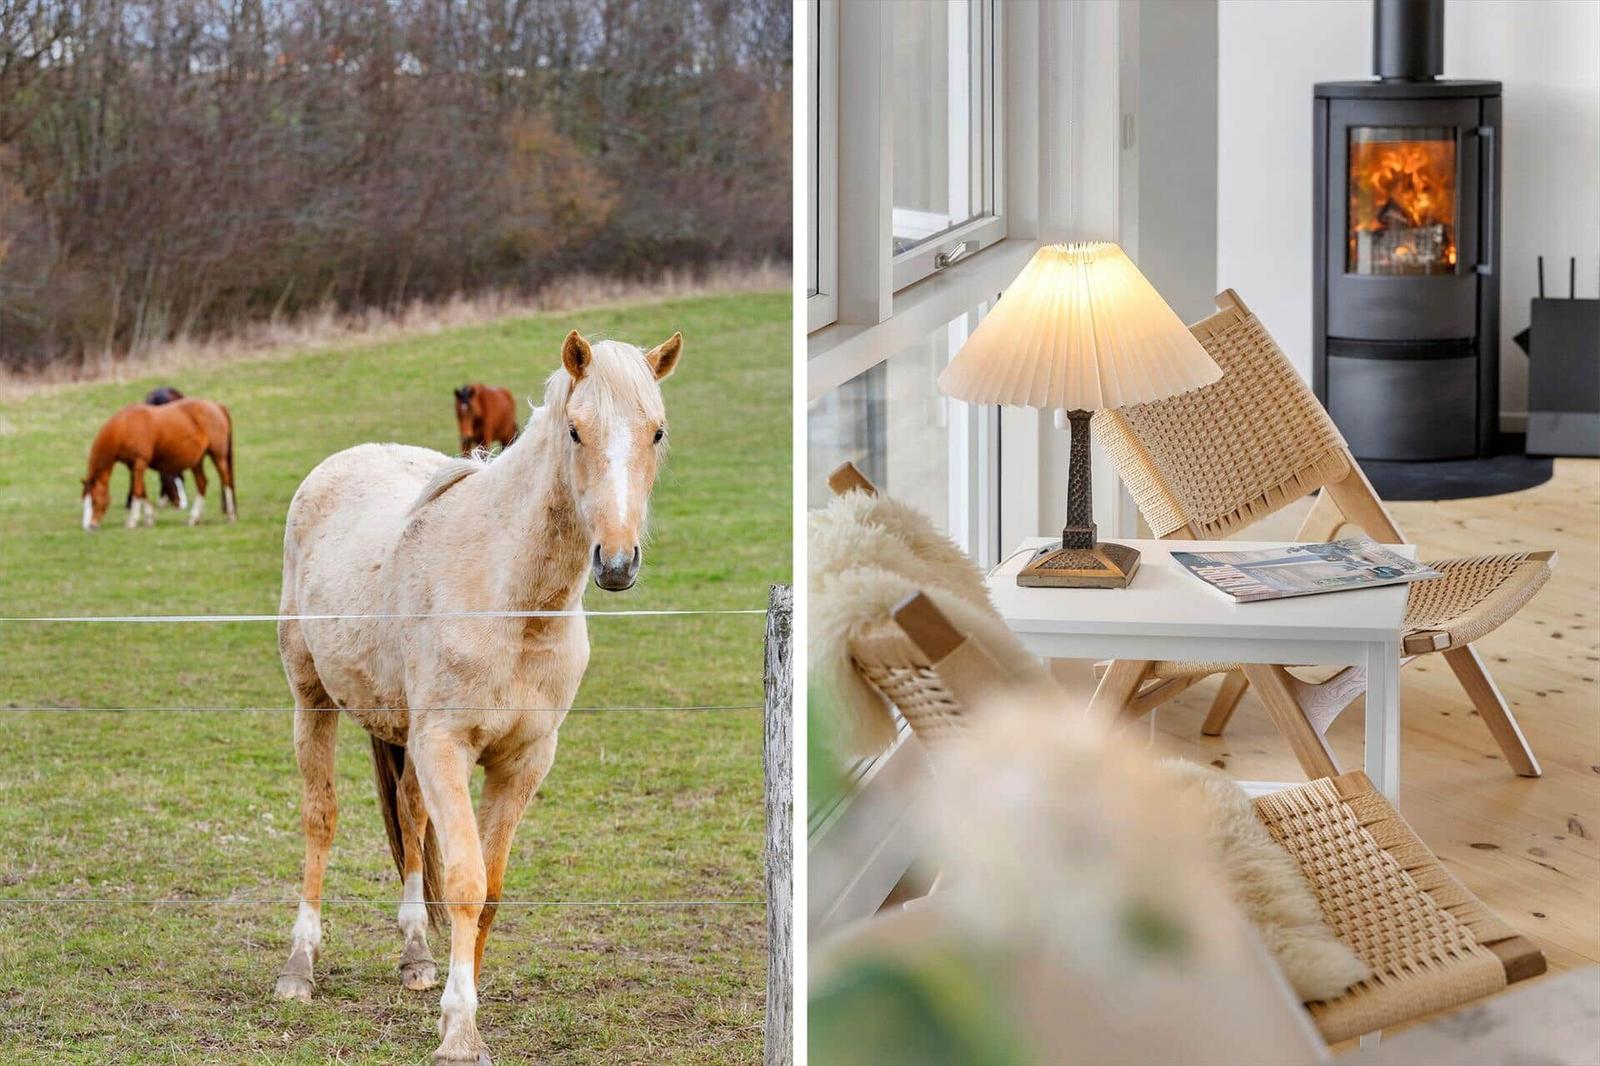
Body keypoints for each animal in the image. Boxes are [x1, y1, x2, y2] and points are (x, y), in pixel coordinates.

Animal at [81, 397, 237, 530]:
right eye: (85, 501)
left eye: (94, 501)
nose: (90, 526)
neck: (125, 427)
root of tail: (217, 406)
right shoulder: (133, 466)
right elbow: (142, 490)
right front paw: (149, 518)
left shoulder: (140, 462)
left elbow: (137, 490)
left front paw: (132, 521)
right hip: (197, 461)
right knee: (202, 483)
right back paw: (193, 518)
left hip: (218, 456)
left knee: (226, 481)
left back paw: (231, 515)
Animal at [274, 329, 681, 1065]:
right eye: (575, 430)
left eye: (656, 431)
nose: (616, 562)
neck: (510, 601)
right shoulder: (446, 746)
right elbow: (464, 883)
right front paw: (460, 1033)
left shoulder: (522, 761)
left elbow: (488, 891)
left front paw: (456, 1008)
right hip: (311, 698)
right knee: (320, 819)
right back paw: (298, 968)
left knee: (411, 820)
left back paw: (415, 957)